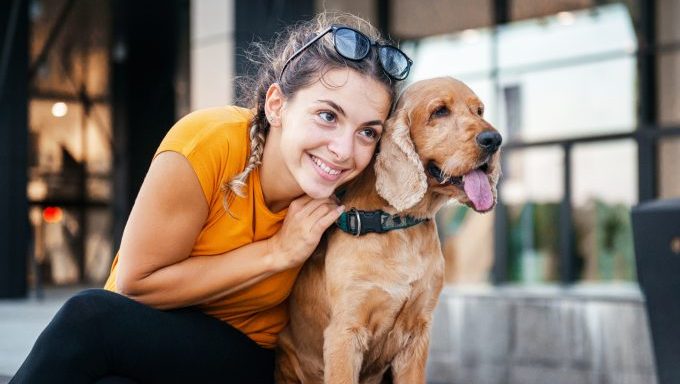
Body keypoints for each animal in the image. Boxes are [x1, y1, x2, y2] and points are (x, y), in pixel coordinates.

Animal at [274, 76, 502, 382]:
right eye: (440, 111)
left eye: (479, 111)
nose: (494, 140)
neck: (398, 225)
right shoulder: (345, 332)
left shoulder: (418, 332)